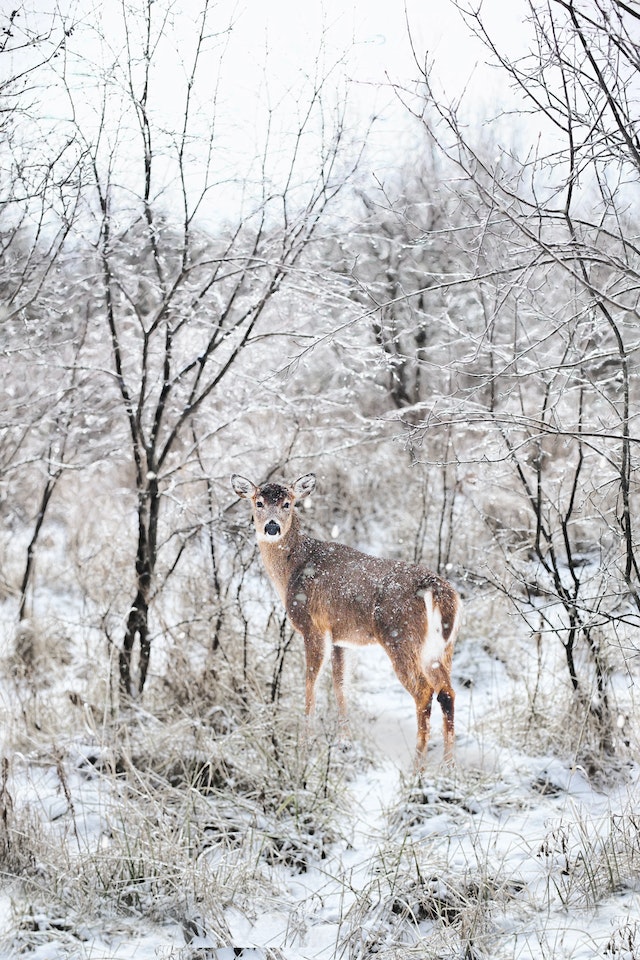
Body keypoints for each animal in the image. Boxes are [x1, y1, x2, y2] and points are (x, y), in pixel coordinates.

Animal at [230, 472, 461, 766]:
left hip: (401, 638)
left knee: (423, 692)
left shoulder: (313, 627)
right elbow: (340, 685)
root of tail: (438, 590)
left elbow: (311, 684)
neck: (292, 569)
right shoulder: (341, 637)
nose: (272, 528)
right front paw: (344, 742)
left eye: (287, 503)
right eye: (258, 502)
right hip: (442, 647)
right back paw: (448, 766)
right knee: (447, 692)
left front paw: (304, 746)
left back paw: (417, 765)